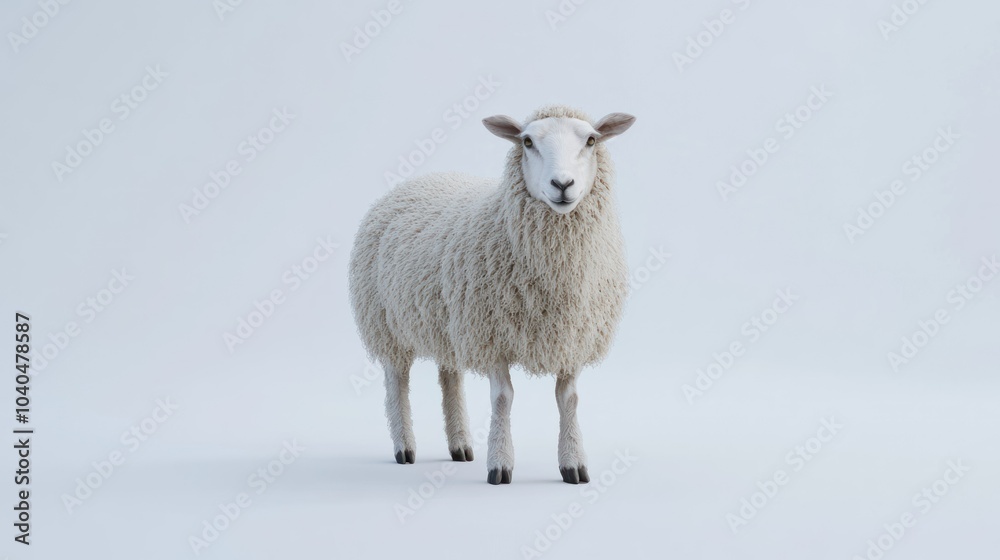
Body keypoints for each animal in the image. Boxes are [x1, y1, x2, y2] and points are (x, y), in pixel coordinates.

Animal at [348, 105, 635, 484]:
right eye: (527, 142)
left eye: (590, 140)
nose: (562, 185)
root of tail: (420, 180)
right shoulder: (492, 334)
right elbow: (502, 399)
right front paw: (500, 465)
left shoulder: (572, 336)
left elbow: (569, 400)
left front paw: (573, 465)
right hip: (386, 324)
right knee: (397, 383)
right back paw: (404, 447)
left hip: (446, 324)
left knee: (449, 378)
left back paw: (459, 446)